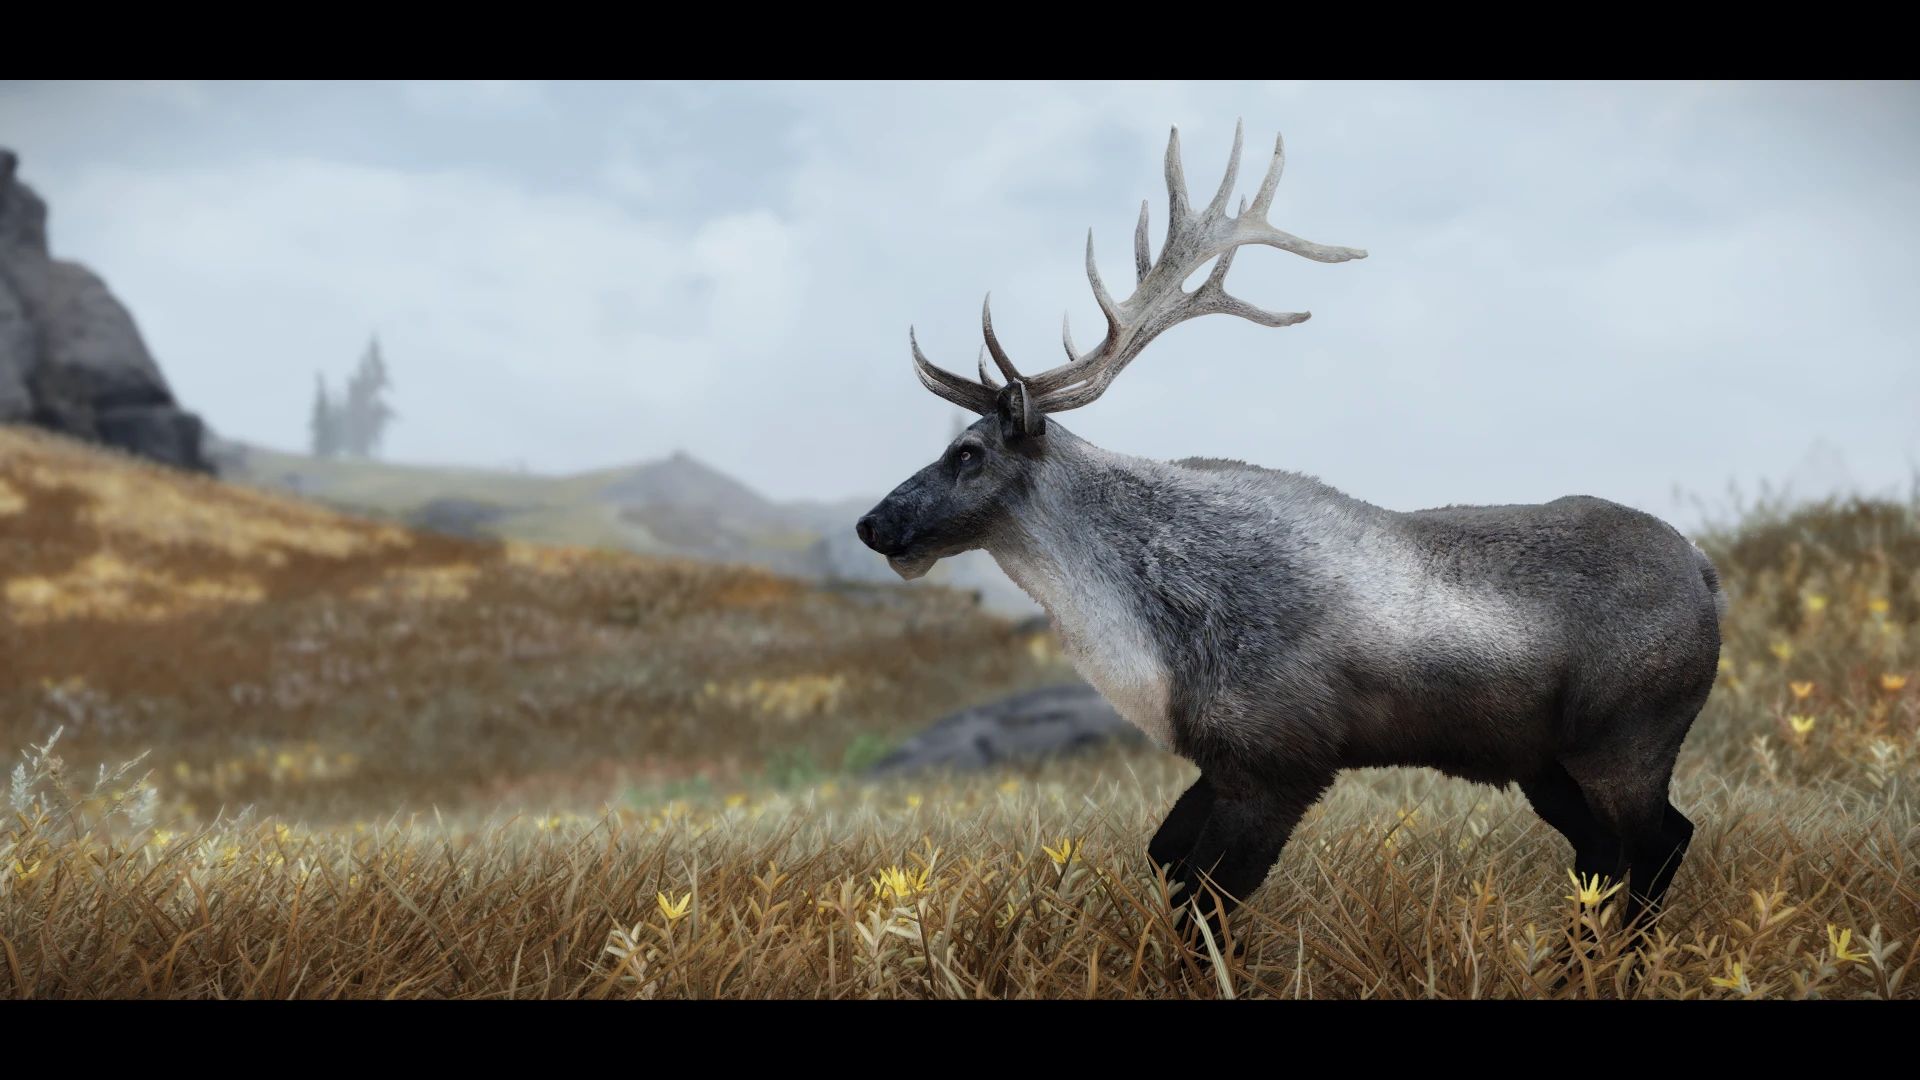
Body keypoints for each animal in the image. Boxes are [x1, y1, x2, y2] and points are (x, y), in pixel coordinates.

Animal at [856, 121, 1725, 945]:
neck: (1146, 634)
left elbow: (1210, 897)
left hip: (1626, 742)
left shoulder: (1284, 761)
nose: (873, 523)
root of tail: (1708, 574)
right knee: (1605, 854)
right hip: (1543, 762)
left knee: (1659, 842)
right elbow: (1168, 863)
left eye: (968, 453)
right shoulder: (1221, 760)